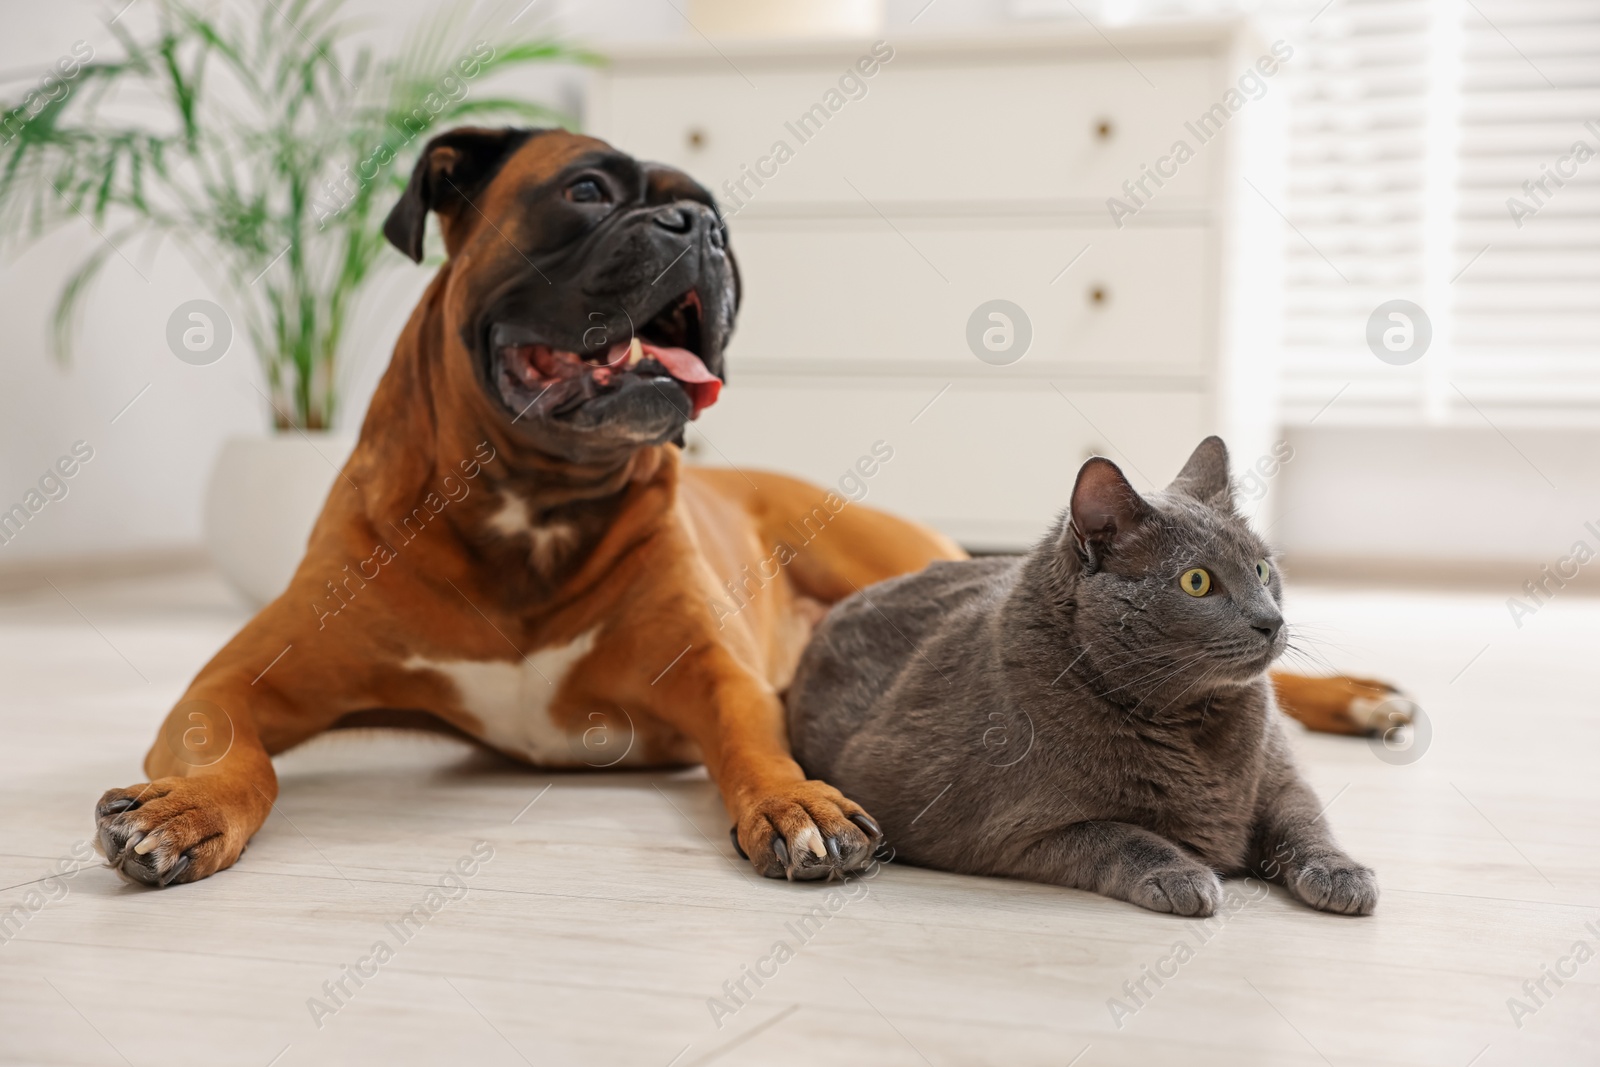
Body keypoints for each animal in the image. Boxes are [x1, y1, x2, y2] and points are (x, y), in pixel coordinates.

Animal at [784, 438, 1376, 915]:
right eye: (1197, 582)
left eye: (1261, 569)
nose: (1270, 621)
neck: (1194, 723)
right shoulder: (1016, 830)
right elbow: (1119, 835)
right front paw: (1181, 874)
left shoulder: (1280, 778)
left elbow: (1304, 819)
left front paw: (1342, 874)